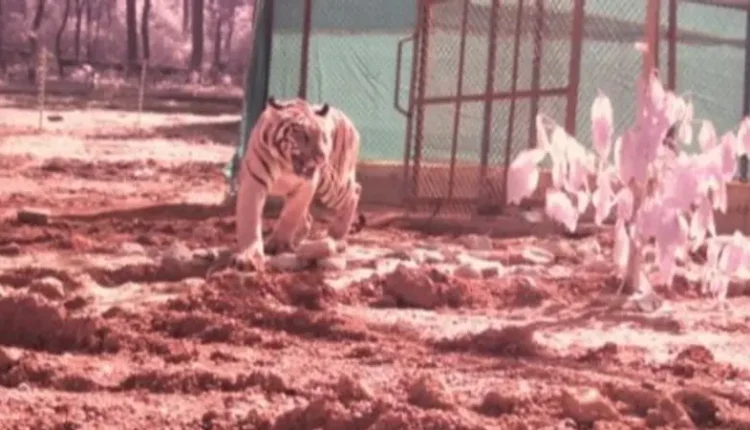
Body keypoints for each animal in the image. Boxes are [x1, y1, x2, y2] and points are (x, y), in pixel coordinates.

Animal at [234, 97, 366, 272]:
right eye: (302, 134)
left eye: (323, 136)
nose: (321, 156)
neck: (285, 165)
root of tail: (349, 122)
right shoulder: (254, 182)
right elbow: (250, 218)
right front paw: (249, 257)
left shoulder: (307, 186)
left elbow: (290, 215)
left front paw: (279, 245)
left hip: (332, 185)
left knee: (355, 190)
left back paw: (336, 235)